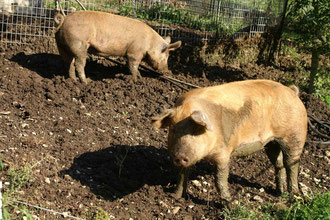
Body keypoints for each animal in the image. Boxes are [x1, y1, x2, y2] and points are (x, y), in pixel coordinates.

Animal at [152, 79, 306, 203]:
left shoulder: (223, 153)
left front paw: (229, 204)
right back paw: (280, 193)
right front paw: (175, 197)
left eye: (196, 130)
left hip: (295, 136)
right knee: (279, 164)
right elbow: (182, 175)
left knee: (292, 164)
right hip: (271, 143)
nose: (180, 156)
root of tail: (292, 92)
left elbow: (220, 179)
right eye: (173, 129)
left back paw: (295, 195)